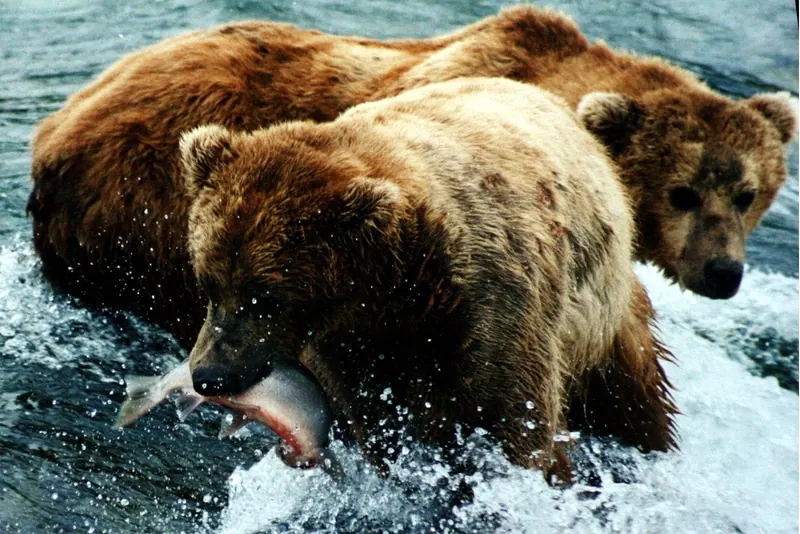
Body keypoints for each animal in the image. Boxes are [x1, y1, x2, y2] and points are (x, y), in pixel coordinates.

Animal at [179, 78, 677, 482]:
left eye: (267, 297)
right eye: (207, 284)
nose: (208, 374)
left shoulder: (493, 307)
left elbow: (514, 421)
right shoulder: (357, 348)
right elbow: (377, 423)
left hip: (606, 320)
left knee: (639, 401)